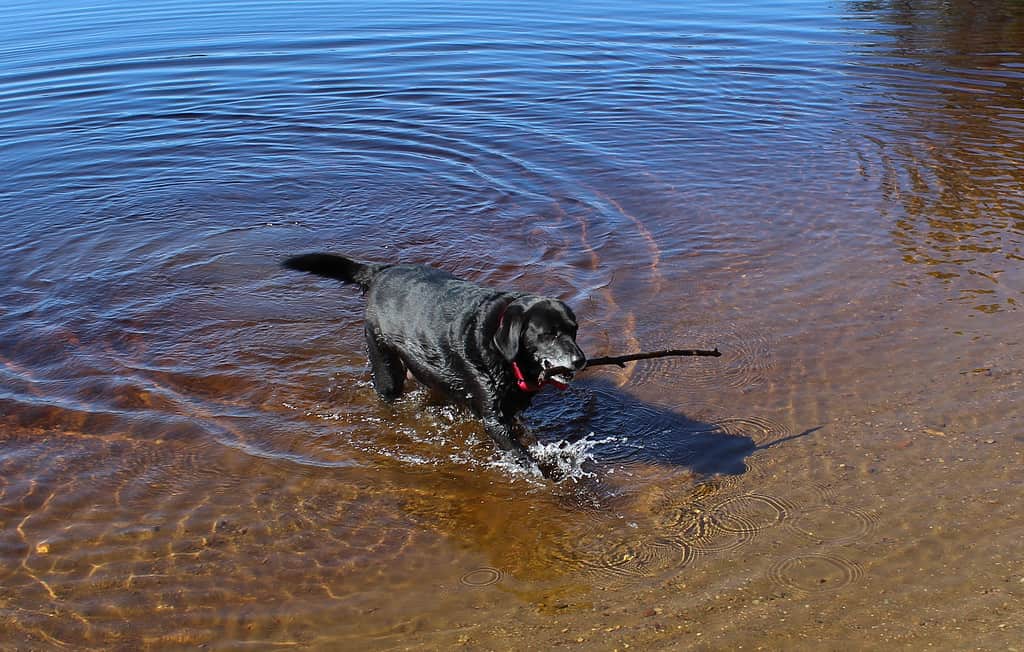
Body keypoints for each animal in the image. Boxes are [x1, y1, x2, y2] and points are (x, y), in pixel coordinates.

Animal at [282, 251, 585, 470]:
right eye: (548, 334)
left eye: (574, 330)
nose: (580, 360)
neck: (498, 346)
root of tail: (381, 271)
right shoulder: (494, 419)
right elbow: (522, 454)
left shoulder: (511, 411)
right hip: (385, 366)